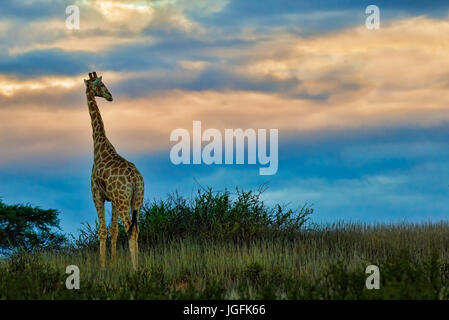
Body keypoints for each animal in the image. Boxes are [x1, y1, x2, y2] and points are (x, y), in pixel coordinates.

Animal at [83, 71, 144, 268]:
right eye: (102, 85)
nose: (110, 96)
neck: (99, 145)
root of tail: (135, 178)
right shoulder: (113, 200)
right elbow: (114, 230)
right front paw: (113, 263)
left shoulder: (97, 195)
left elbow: (103, 230)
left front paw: (102, 265)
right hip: (136, 200)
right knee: (136, 228)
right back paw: (138, 265)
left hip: (124, 200)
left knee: (130, 229)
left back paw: (135, 268)